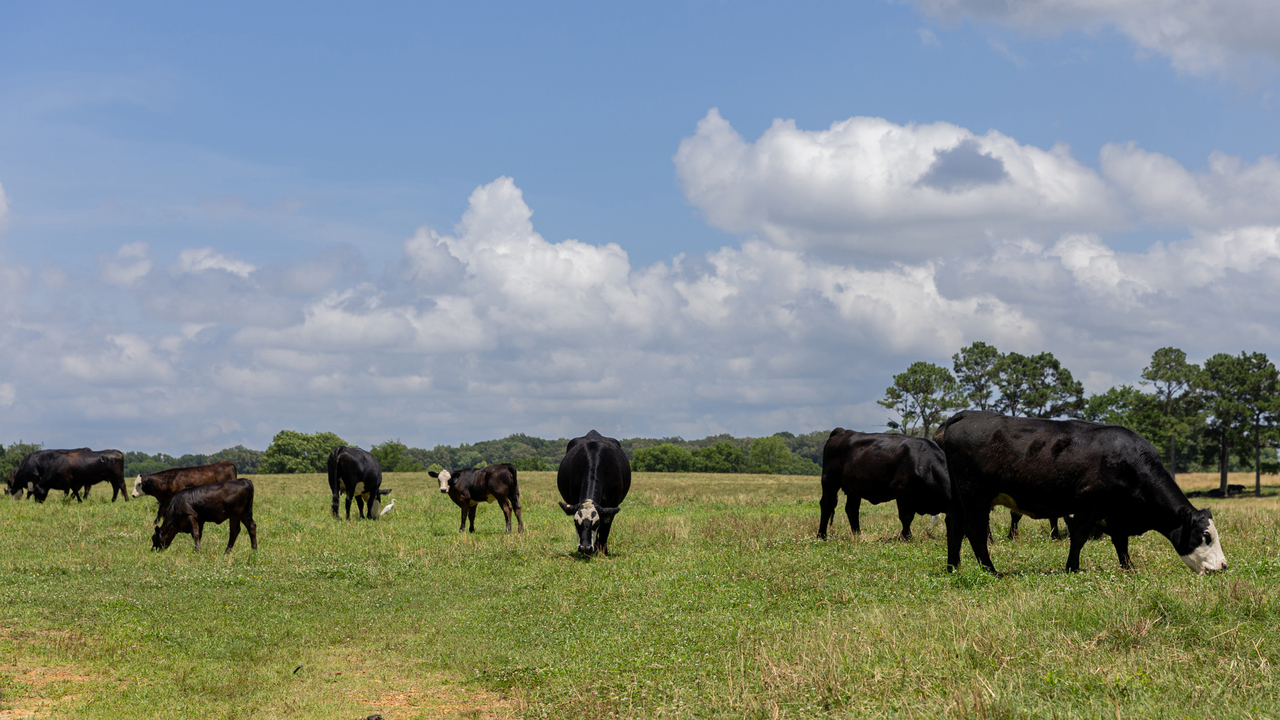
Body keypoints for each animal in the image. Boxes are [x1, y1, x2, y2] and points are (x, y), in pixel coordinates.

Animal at [817, 428, 953, 541]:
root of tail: (843, 431)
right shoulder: (902, 492)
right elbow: (906, 517)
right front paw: (906, 537)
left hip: (853, 488)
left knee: (851, 509)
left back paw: (858, 535)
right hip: (829, 481)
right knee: (827, 506)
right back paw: (821, 536)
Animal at [937, 410, 1227, 575]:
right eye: (1206, 536)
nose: (1223, 567)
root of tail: (964, 415)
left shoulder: (1116, 514)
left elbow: (1121, 543)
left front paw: (1129, 569)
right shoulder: (1088, 504)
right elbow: (1078, 537)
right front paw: (1072, 567)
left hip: (958, 496)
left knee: (954, 525)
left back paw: (953, 567)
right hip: (975, 495)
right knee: (974, 530)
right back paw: (990, 570)